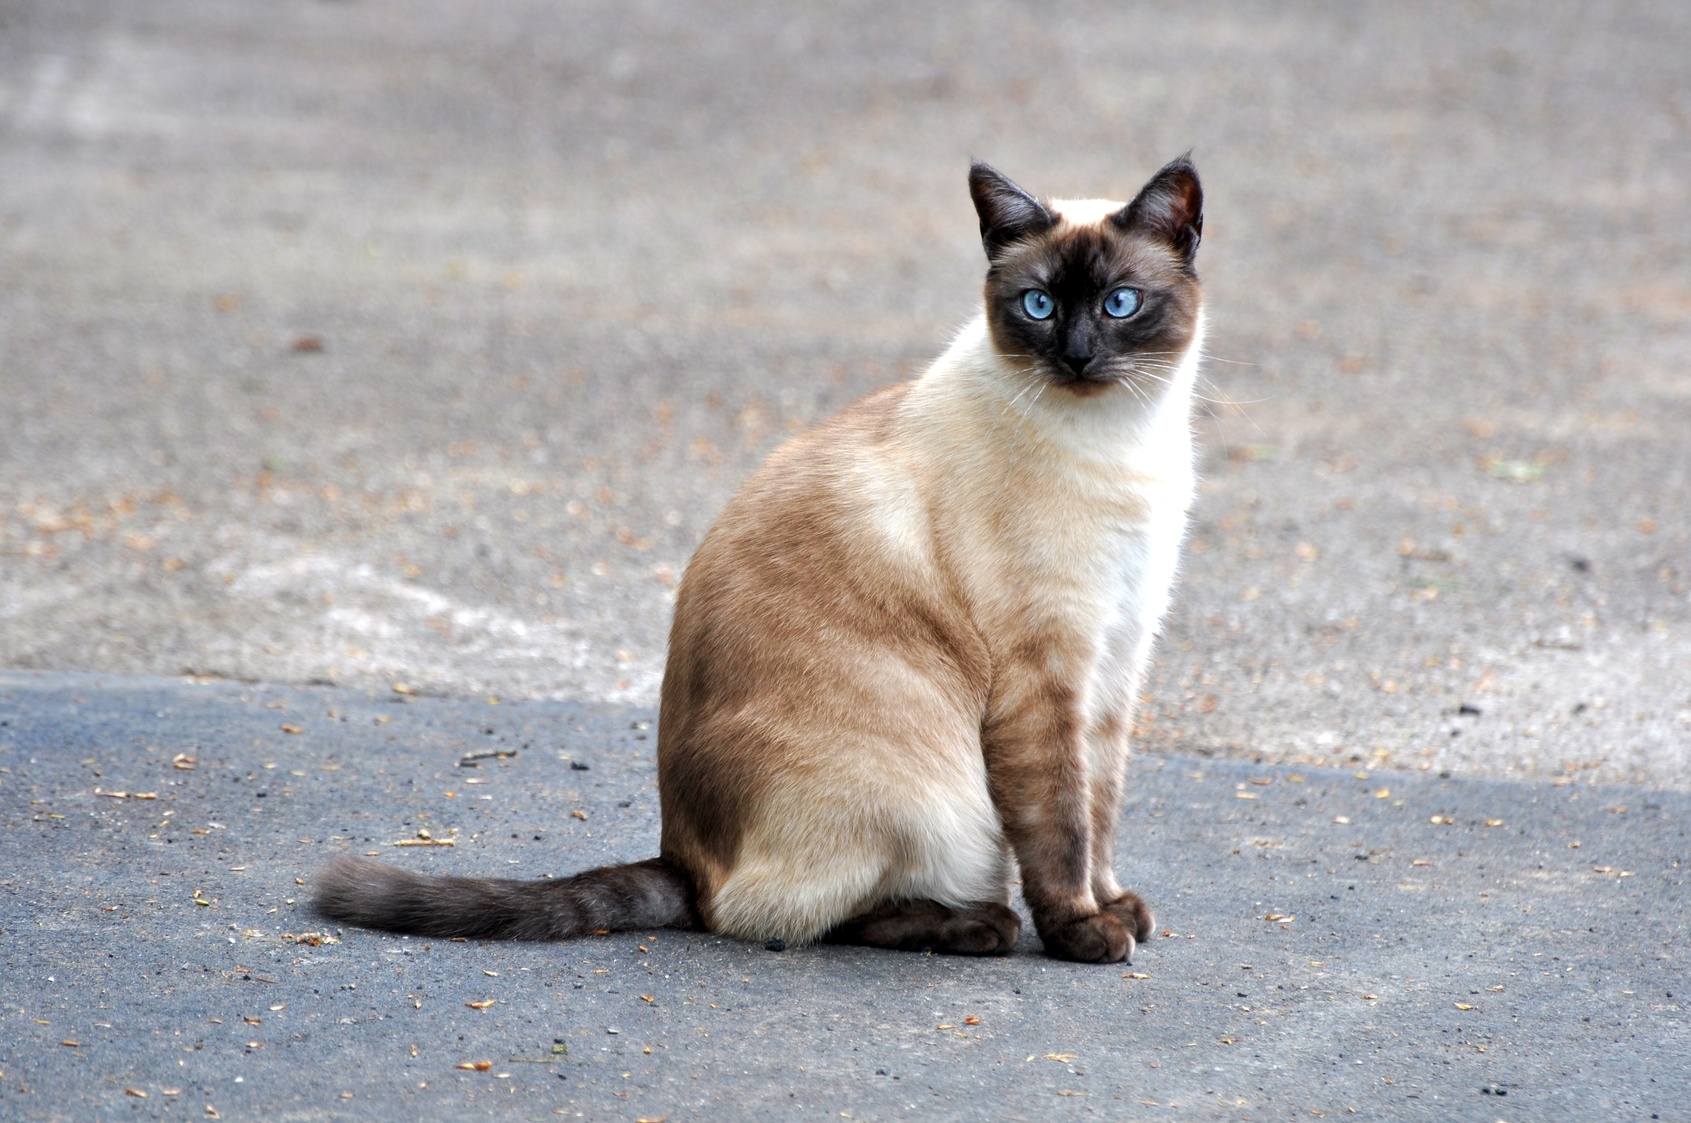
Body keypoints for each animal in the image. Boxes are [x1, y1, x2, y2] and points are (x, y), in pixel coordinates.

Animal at [317, 155, 1210, 967]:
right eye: (1038, 305)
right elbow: (1060, 824)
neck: (1122, 446)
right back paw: (979, 926)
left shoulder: (1114, 661)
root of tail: (681, 856)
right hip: (930, 795)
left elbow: (1100, 806)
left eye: (1119, 303)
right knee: (792, 916)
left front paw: (1115, 905)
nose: (1077, 355)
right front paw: (1085, 933)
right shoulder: (1045, 673)